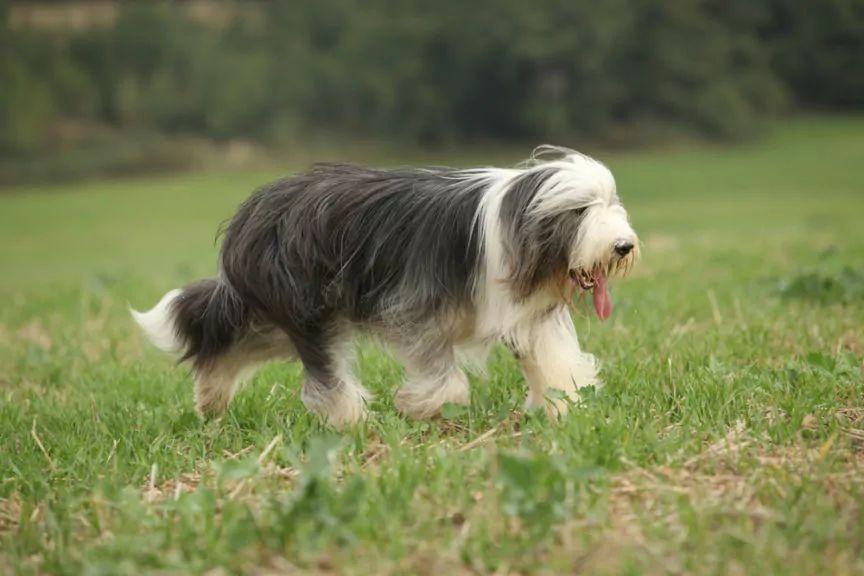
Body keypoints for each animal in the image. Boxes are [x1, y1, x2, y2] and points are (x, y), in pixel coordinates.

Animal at [132, 148, 636, 428]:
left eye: (611, 203)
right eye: (580, 210)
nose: (624, 246)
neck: (513, 221)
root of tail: (250, 212)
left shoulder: (529, 315)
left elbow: (553, 360)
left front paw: (568, 407)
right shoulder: (415, 304)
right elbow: (441, 372)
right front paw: (426, 407)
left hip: (279, 316)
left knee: (230, 343)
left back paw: (210, 397)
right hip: (305, 306)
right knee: (324, 373)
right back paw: (350, 421)